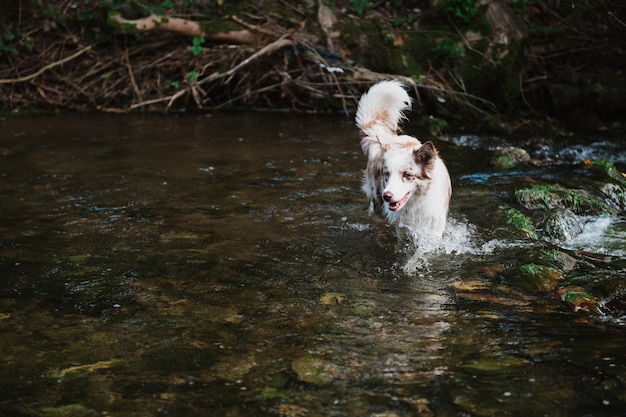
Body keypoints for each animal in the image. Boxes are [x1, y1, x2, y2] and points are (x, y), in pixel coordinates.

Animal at [354, 80, 450, 240]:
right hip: (377, 203)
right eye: (387, 174)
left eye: (407, 175)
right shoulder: (402, 227)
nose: (387, 196)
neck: (414, 206)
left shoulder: (432, 228)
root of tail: (387, 140)